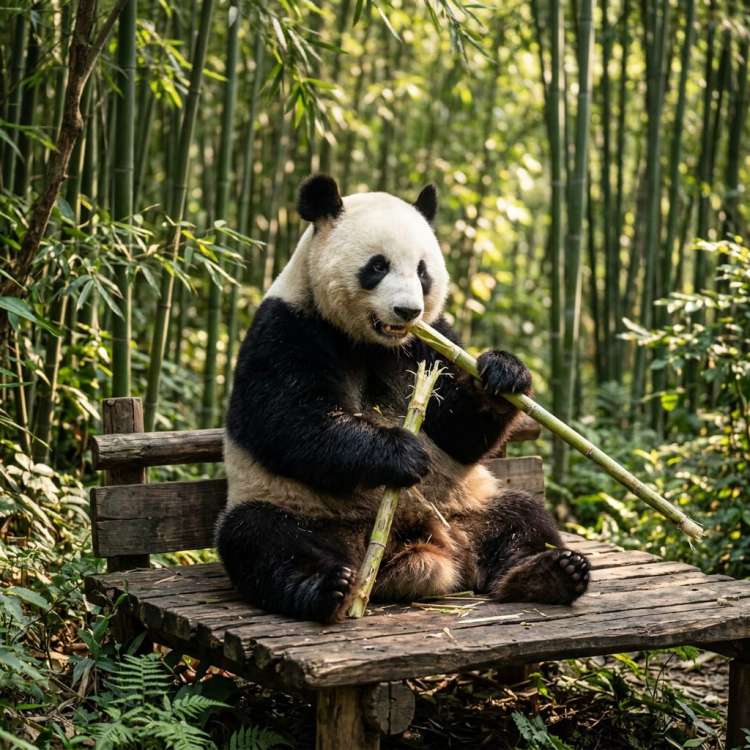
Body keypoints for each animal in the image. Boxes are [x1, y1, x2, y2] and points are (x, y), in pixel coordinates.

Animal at [216, 174, 590, 623]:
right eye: (377, 266)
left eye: (422, 271)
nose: (408, 311)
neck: (374, 342)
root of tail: (417, 550)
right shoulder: (287, 325)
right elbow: (288, 420)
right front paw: (401, 453)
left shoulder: (433, 339)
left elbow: (458, 432)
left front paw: (503, 373)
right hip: (299, 508)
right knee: (260, 537)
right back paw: (327, 587)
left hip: (467, 504)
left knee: (522, 517)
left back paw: (550, 573)